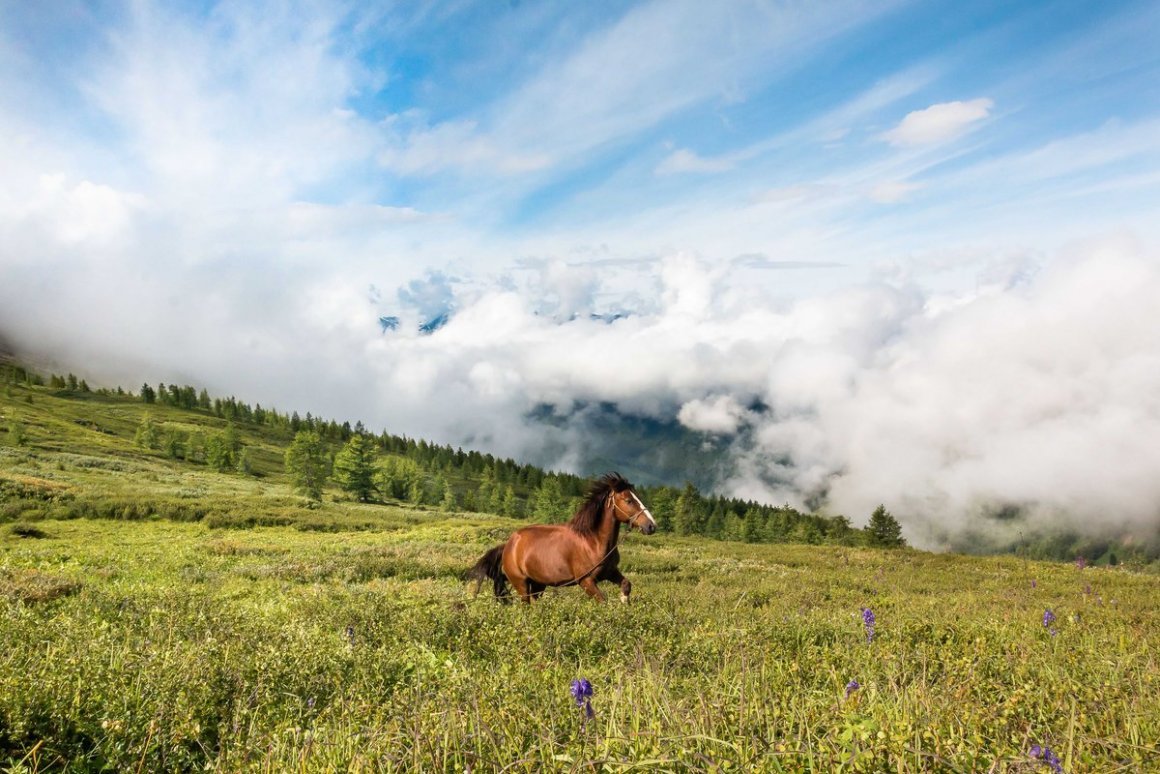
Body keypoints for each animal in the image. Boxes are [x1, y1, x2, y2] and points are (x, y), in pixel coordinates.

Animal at [468, 473, 654, 603]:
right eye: (628, 500)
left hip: (538, 584)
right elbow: (603, 601)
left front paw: (624, 603)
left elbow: (626, 585)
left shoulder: (610, 572)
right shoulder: (586, 581)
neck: (593, 542)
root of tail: (508, 545)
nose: (651, 526)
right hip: (521, 584)